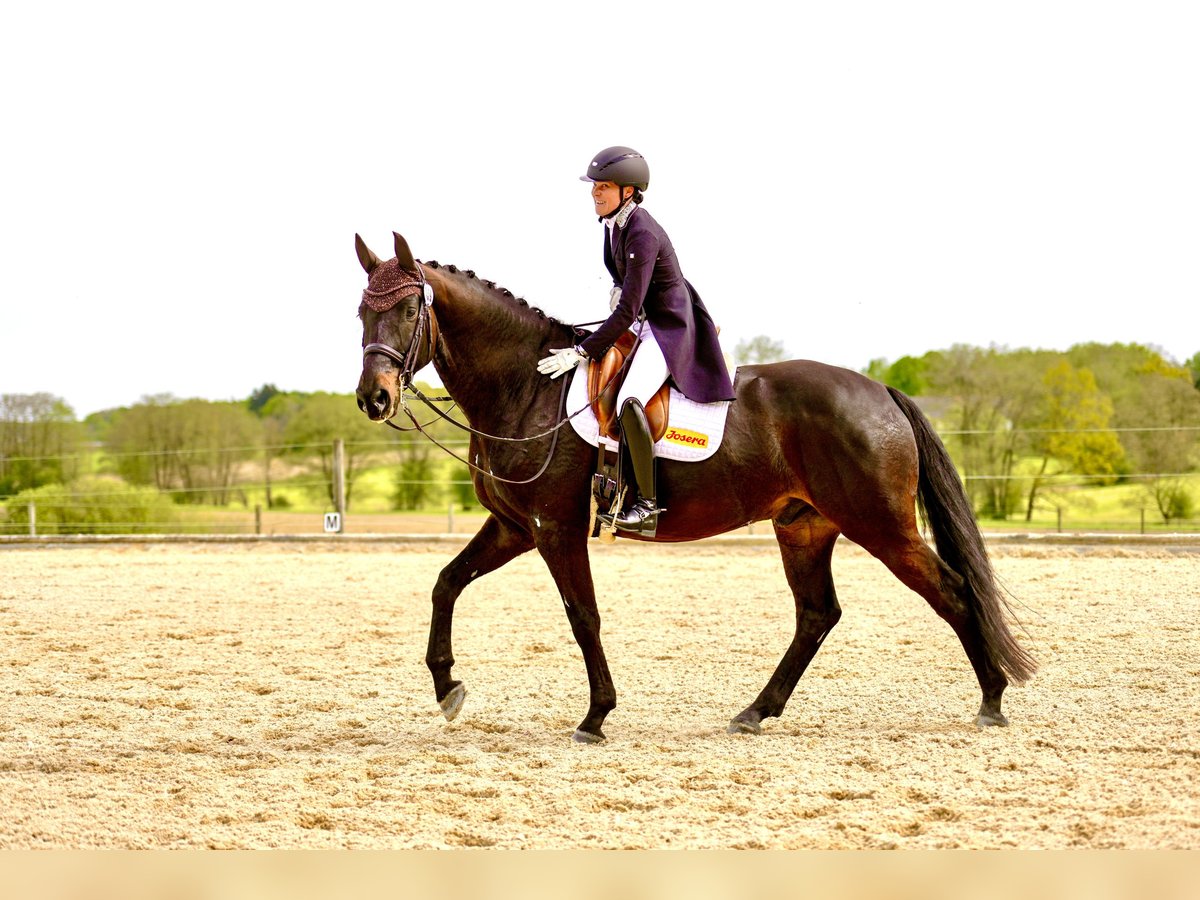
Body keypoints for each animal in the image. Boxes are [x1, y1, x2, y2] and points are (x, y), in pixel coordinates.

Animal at [352, 232, 1032, 748]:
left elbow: (582, 616)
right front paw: (448, 690)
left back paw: (992, 701)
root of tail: (879, 391)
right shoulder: (516, 527)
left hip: (881, 525)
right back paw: (755, 712)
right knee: (817, 614)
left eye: (409, 312)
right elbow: (446, 583)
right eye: (361, 312)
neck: (524, 386)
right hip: (805, 526)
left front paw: (596, 716)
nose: (373, 399)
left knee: (951, 590)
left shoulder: (555, 528)